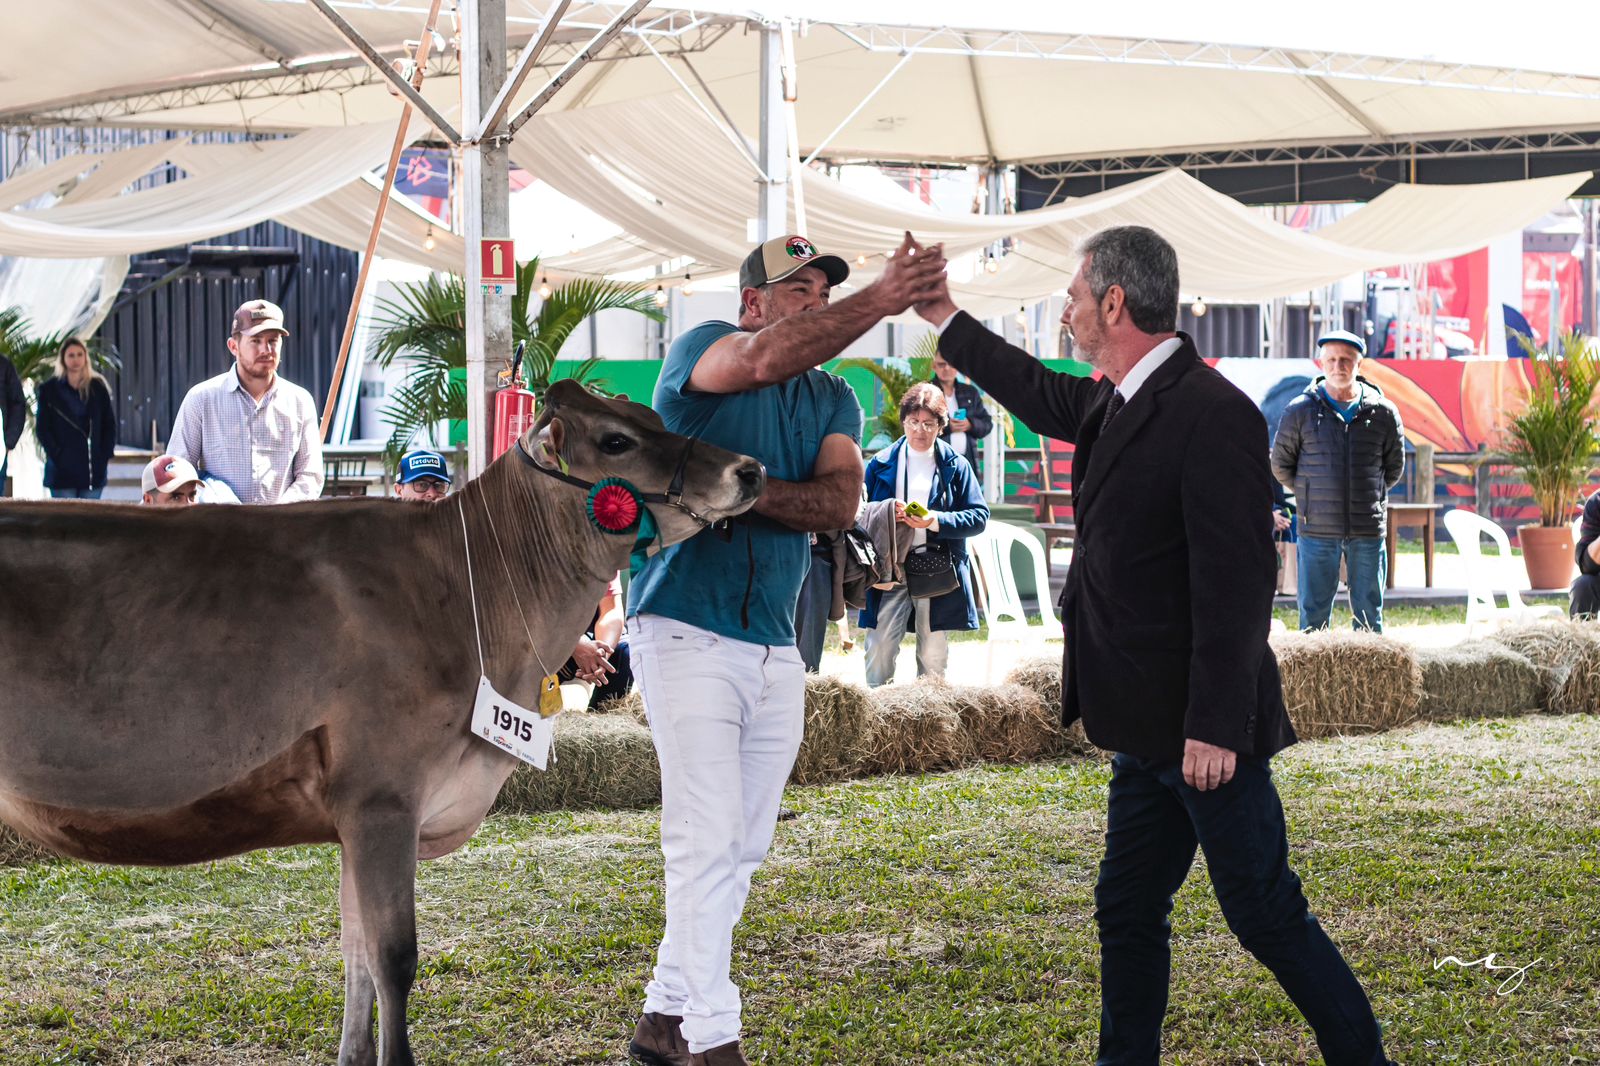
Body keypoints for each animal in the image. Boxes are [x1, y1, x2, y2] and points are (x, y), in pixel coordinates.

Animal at [0, 377, 764, 1056]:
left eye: (648, 414)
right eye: (615, 441)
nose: (750, 468)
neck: (468, 586)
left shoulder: (354, 819)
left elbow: (356, 958)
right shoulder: (382, 800)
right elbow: (394, 959)